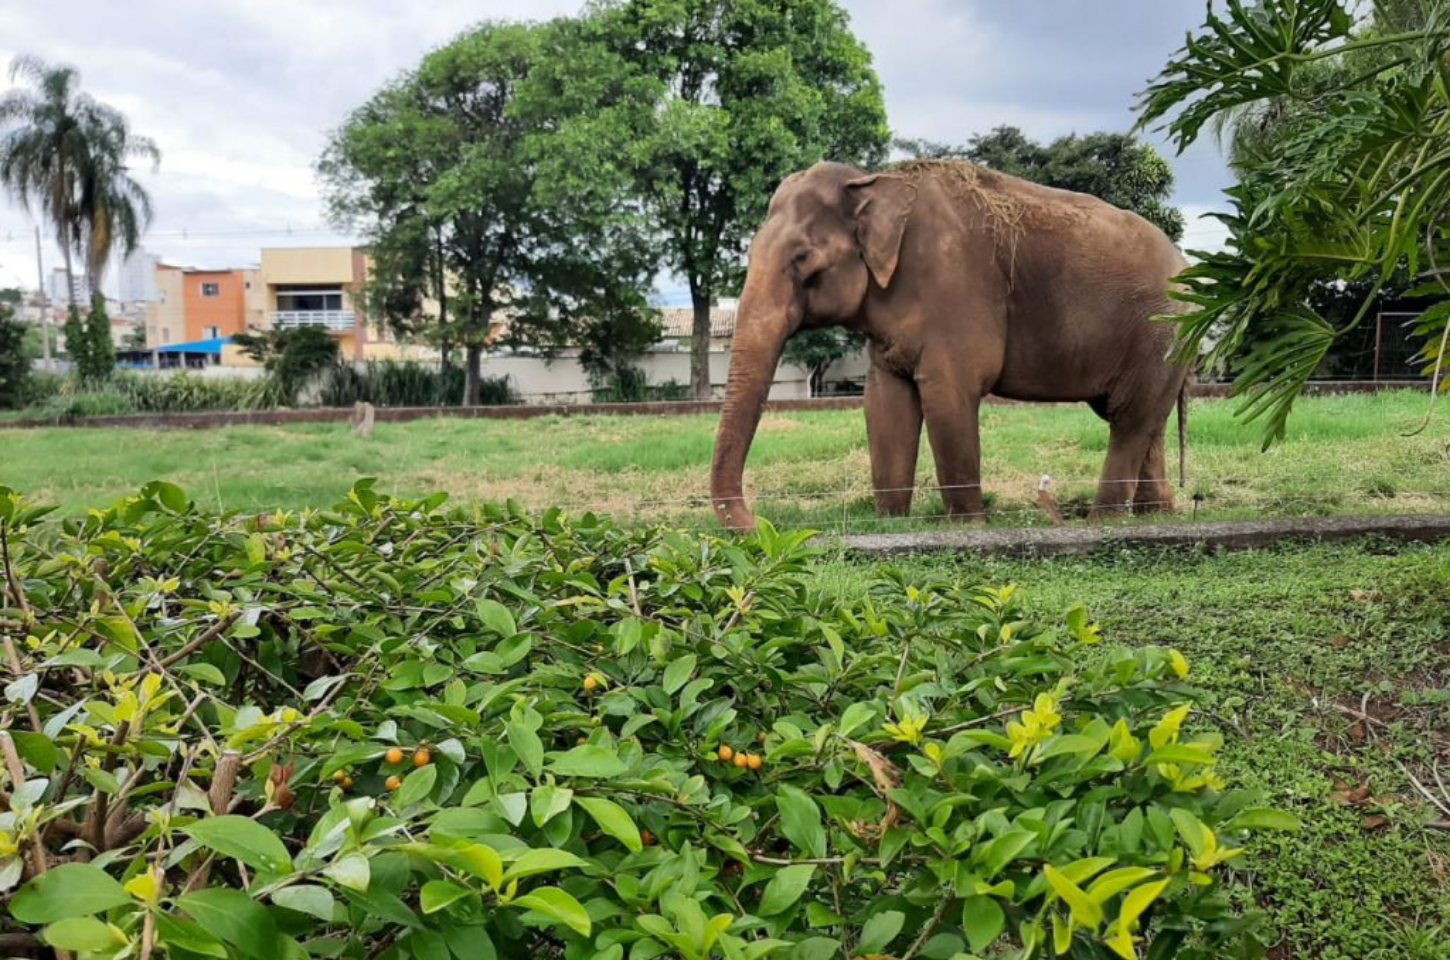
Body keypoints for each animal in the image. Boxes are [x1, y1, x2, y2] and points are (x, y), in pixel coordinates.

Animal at [709, 159, 1191, 532]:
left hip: (1160, 333)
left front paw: (969, 526)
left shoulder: (954, 288)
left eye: (802, 258)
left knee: (1129, 420)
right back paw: (1155, 515)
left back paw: (1103, 521)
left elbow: (948, 397)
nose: (760, 524)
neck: (874, 181)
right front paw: (891, 523)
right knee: (1143, 419)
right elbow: (884, 404)